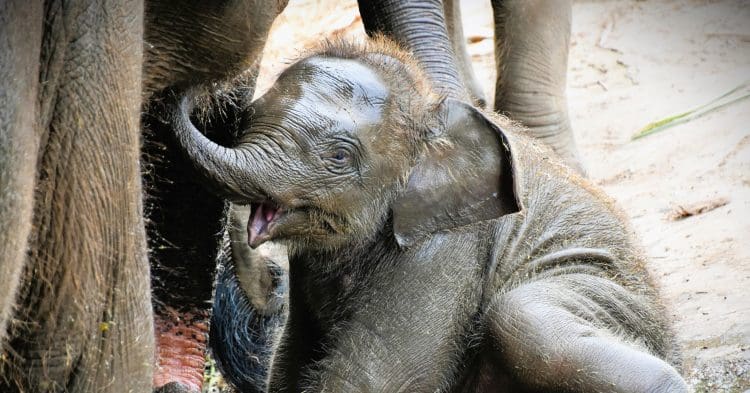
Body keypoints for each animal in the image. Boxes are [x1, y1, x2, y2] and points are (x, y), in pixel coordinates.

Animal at [170, 38, 688, 390]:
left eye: (339, 156)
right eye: (249, 117)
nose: (192, 88)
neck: (427, 110)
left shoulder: (443, 250)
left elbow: (374, 380)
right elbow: (290, 361)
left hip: (612, 298)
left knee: (522, 318)